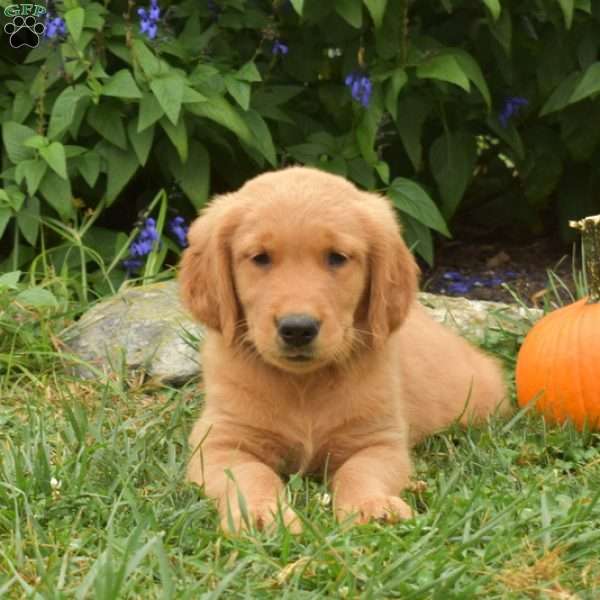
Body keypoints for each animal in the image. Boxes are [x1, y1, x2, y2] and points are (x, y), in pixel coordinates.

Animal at [179, 166, 510, 532]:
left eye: (336, 258)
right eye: (260, 258)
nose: (298, 329)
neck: (303, 385)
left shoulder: (379, 440)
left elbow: (360, 471)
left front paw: (373, 505)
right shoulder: (220, 441)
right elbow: (250, 475)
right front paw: (258, 514)